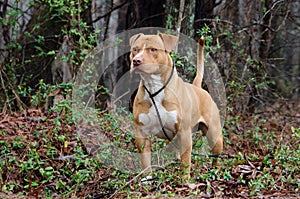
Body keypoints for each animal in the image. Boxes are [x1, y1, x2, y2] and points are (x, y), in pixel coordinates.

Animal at [129, 33, 223, 179]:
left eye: (153, 49)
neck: (154, 87)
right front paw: (147, 178)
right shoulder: (141, 131)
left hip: (214, 135)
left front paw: (185, 180)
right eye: (135, 49)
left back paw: (215, 172)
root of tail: (198, 87)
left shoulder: (184, 131)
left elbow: (186, 160)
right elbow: (145, 159)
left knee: (215, 156)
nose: (136, 61)